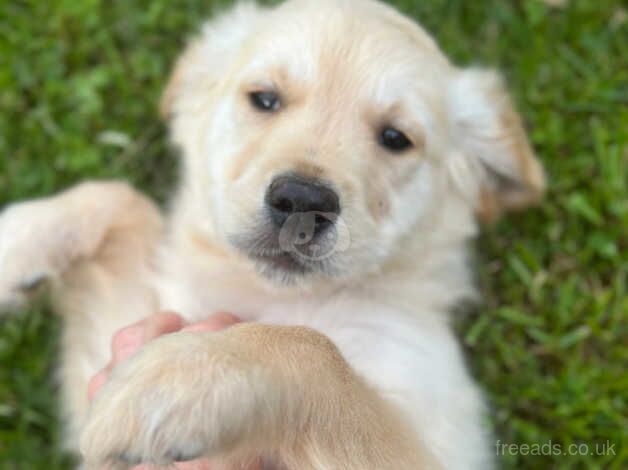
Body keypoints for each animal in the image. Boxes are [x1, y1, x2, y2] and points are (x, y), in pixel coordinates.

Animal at [0, 0, 544, 468]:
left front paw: (178, 379)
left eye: (395, 138)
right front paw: (15, 246)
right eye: (264, 99)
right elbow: (119, 196)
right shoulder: (124, 334)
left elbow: (313, 349)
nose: (302, 202)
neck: (276, 297)